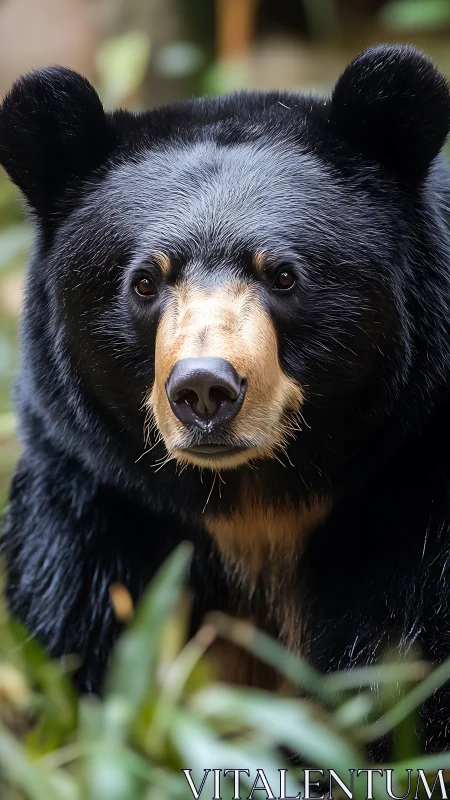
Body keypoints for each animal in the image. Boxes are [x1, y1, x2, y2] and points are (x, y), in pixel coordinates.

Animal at [2, 43, 450, 754]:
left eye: (284, 276)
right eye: (145, 281)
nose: (205, 388)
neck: (253, 500)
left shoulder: (416, 497)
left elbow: (408, 664)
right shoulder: (96, 496)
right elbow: (71, 632)